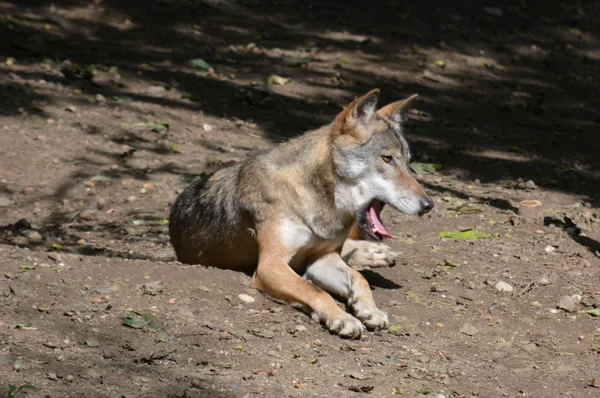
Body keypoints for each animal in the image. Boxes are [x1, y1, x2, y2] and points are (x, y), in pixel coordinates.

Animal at [169, 90, 432, 338]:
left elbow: (359, 279)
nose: (428, 205)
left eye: (408, 163)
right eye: (387, 159)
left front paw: (369, 309)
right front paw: (342, 317)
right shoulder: (270, 265)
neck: (320, 205)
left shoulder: (322, 260)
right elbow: (315, 291)